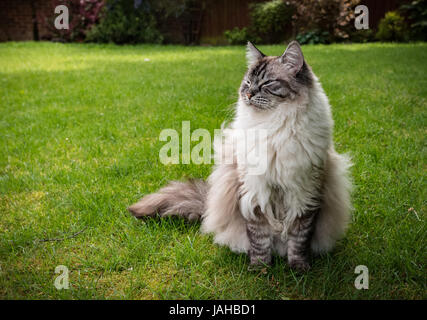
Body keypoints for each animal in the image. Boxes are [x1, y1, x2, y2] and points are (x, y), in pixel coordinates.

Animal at [128, 41, 354, 272]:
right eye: (248, 83)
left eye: (267, 83)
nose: (249, 94)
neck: (272, 125)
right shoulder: (254, 192)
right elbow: (259, 238)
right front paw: (260, 269)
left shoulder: (305, 192)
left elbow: (299, 239)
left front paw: (298, 268)